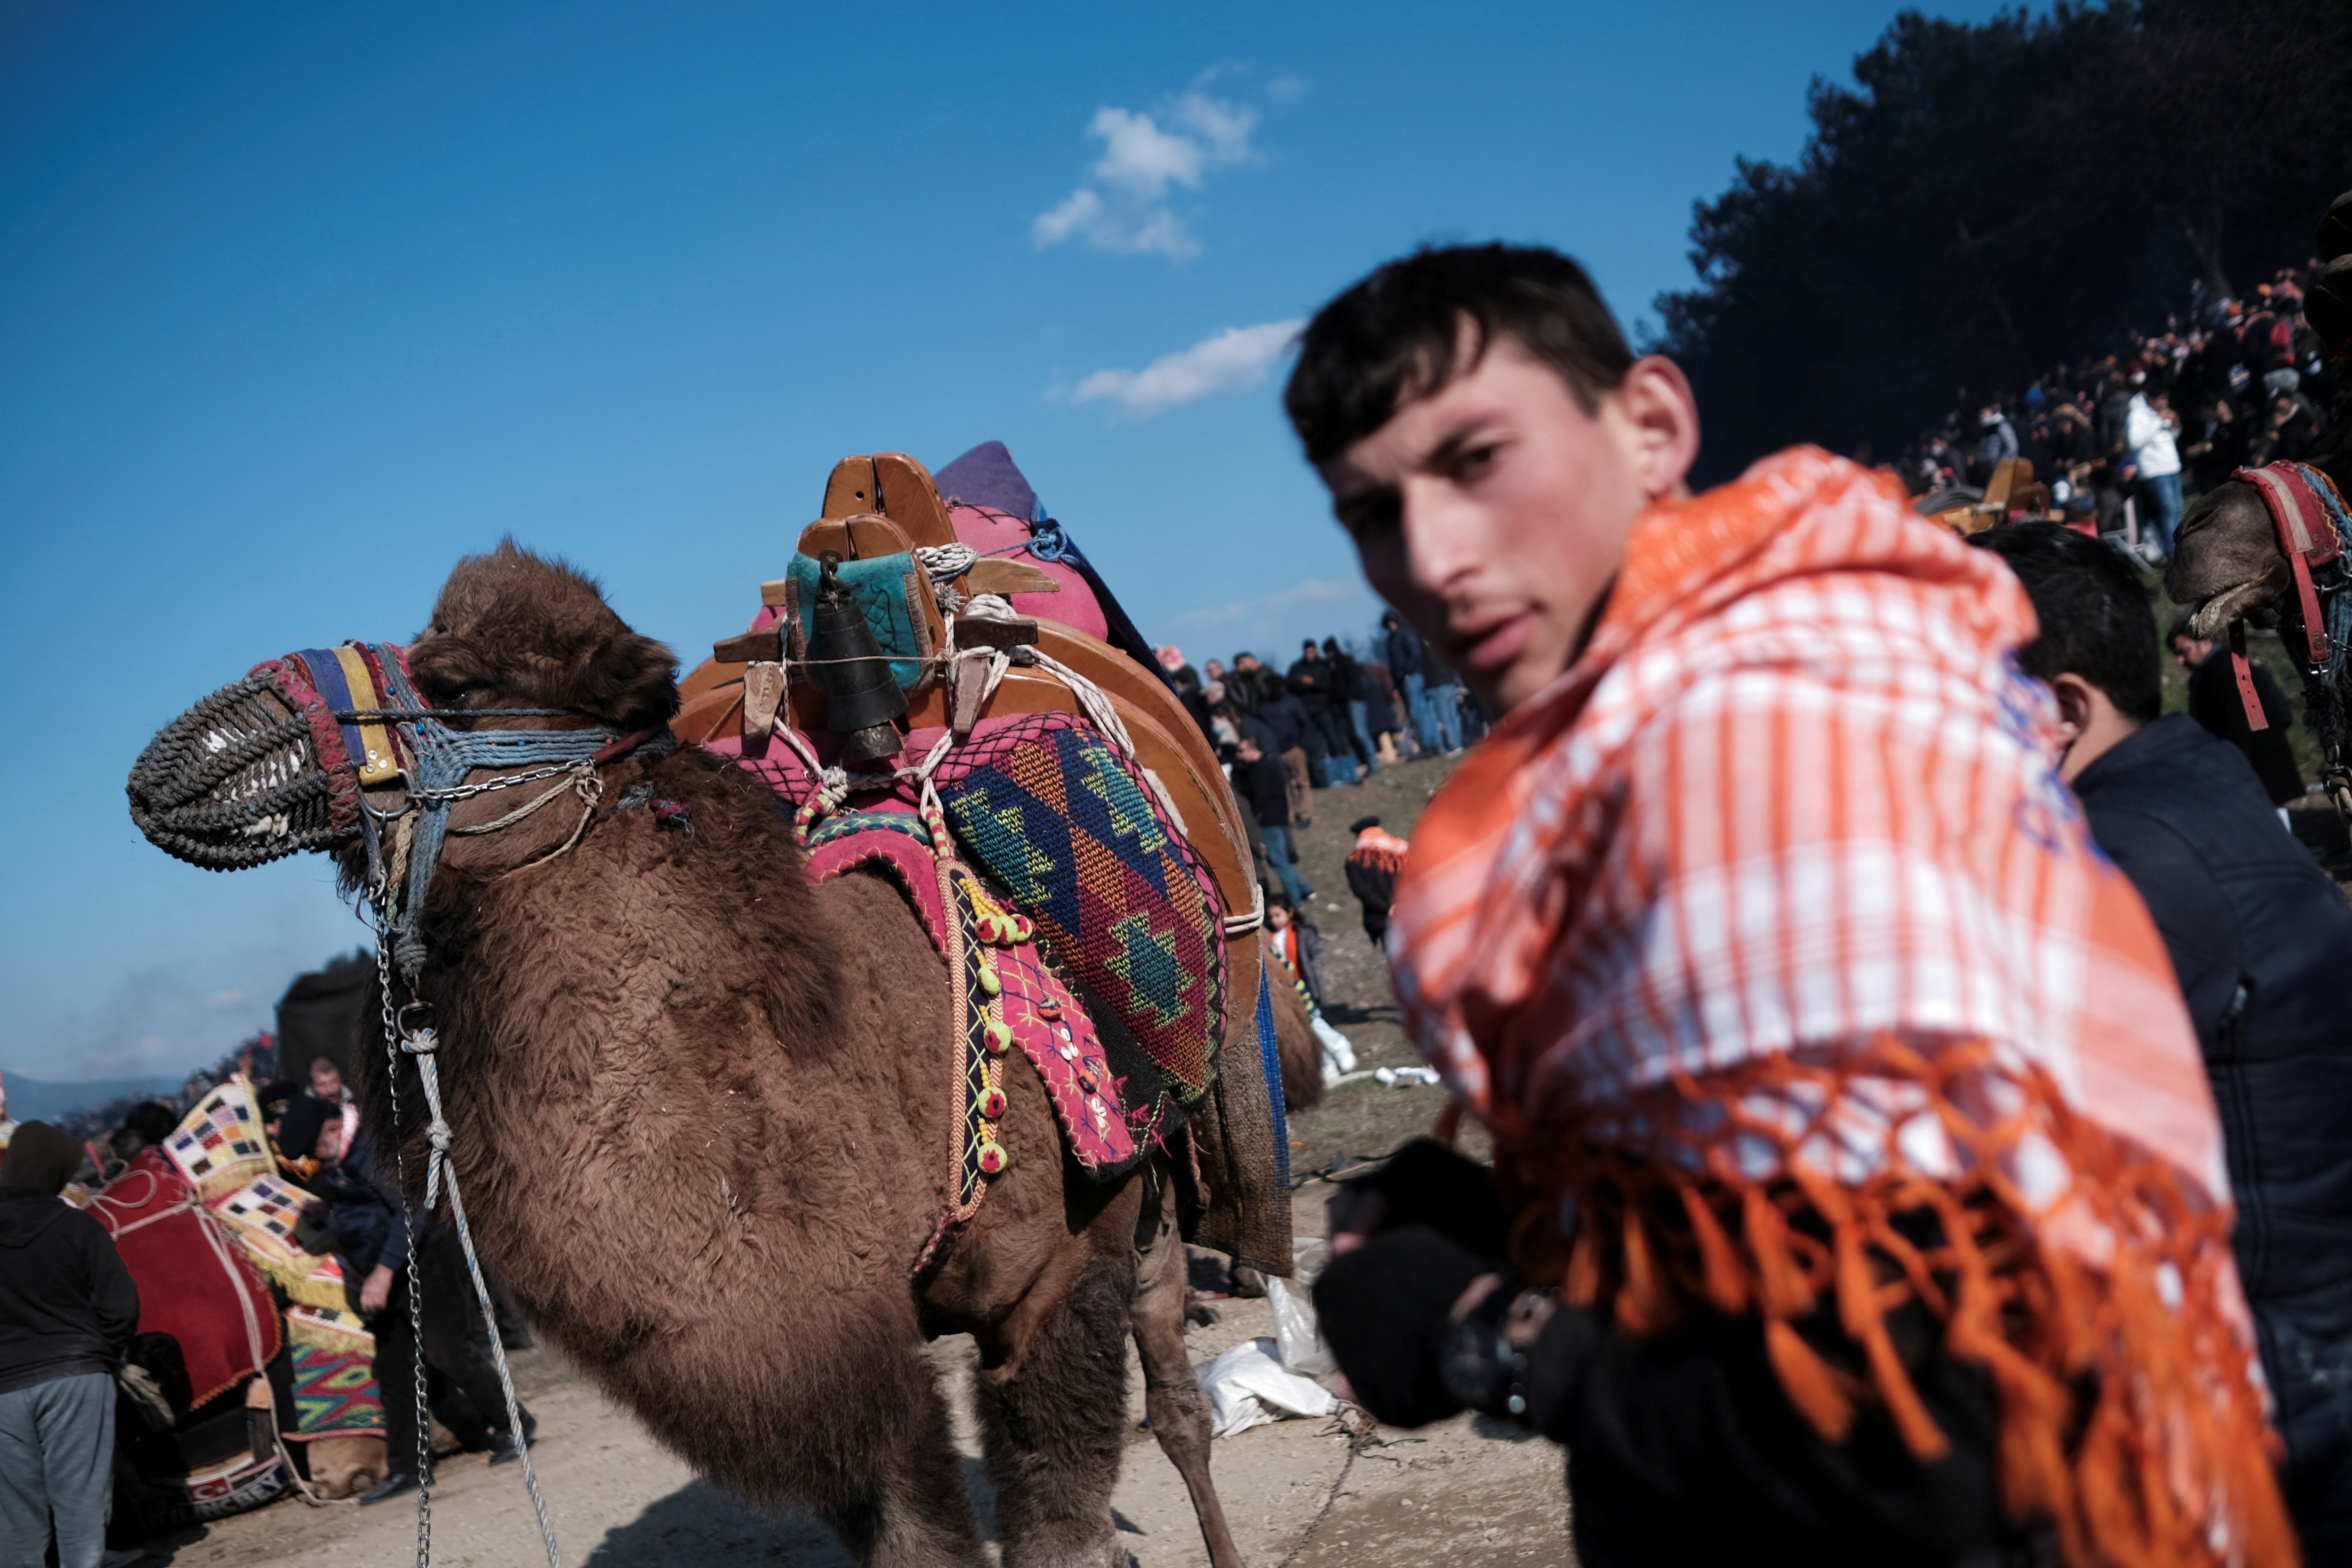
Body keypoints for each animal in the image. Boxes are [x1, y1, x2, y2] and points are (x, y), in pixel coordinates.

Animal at [154, 543, 1317, 1568]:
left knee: (1177, 1405)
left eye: (458, 683)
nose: (185, 755)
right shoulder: (826, 1361)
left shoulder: (1051, 1276)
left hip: (1146, 1195)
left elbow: (1060, 1529)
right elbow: (910, 1536)